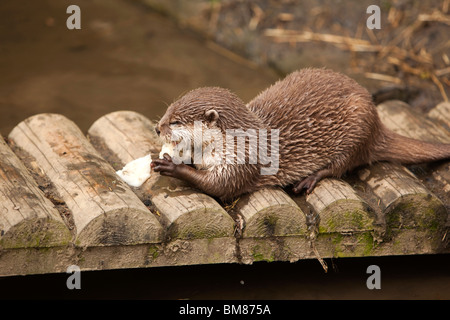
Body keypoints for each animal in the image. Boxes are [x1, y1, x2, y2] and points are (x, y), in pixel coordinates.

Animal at [151, 68, 450, 200]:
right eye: (167, 110)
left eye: (176, 122)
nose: (157, 127)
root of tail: (378, 122)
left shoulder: (242, 161)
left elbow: (219, 188)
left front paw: (170, 165)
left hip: (358, 125)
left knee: (341, 166)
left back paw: (309, 179)